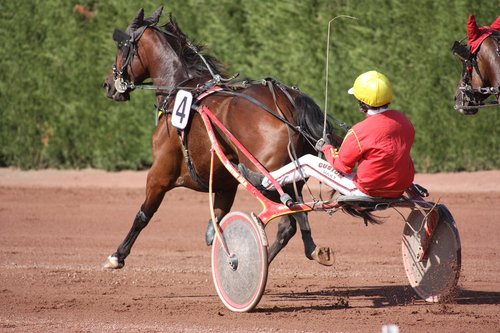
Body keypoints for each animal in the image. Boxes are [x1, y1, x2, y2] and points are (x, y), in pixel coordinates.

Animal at [102, 6, 344, 268]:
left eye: (120, 46)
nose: (108, 85)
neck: (181, 90)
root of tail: (287, 103)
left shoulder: (160, 173)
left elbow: (143, 215)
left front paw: (117, 255)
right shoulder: (225, 185)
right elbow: (215, 226)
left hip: (264, 175)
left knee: (286, 221)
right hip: (292, 177)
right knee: (294, 219)